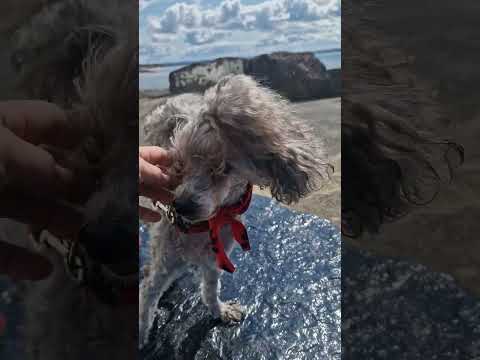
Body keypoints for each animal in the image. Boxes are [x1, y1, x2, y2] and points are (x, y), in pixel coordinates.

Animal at [139, 74, 330, 348]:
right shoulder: (164, 264)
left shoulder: (214, 259)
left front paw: (220, 311)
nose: (180, 206)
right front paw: (142, 334)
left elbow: (210, 290)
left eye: (222, 168)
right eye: (180, 164)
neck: (205, 225)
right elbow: (147, 297)